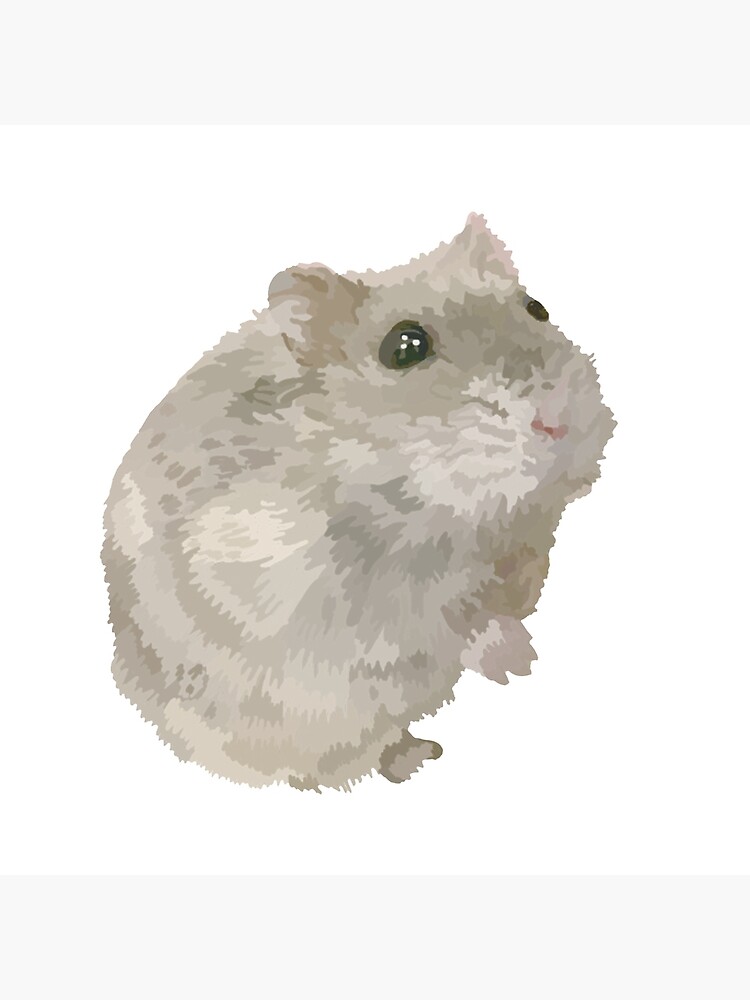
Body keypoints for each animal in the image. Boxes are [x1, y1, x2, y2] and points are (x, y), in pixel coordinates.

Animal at [102, 213, 615, 791]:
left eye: (538, 308)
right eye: (405, 347)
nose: (557, 420)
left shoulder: (530, 536)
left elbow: (517, 585)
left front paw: (523, 645)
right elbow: (445, 618)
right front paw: (516, 662)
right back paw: (417, 759)